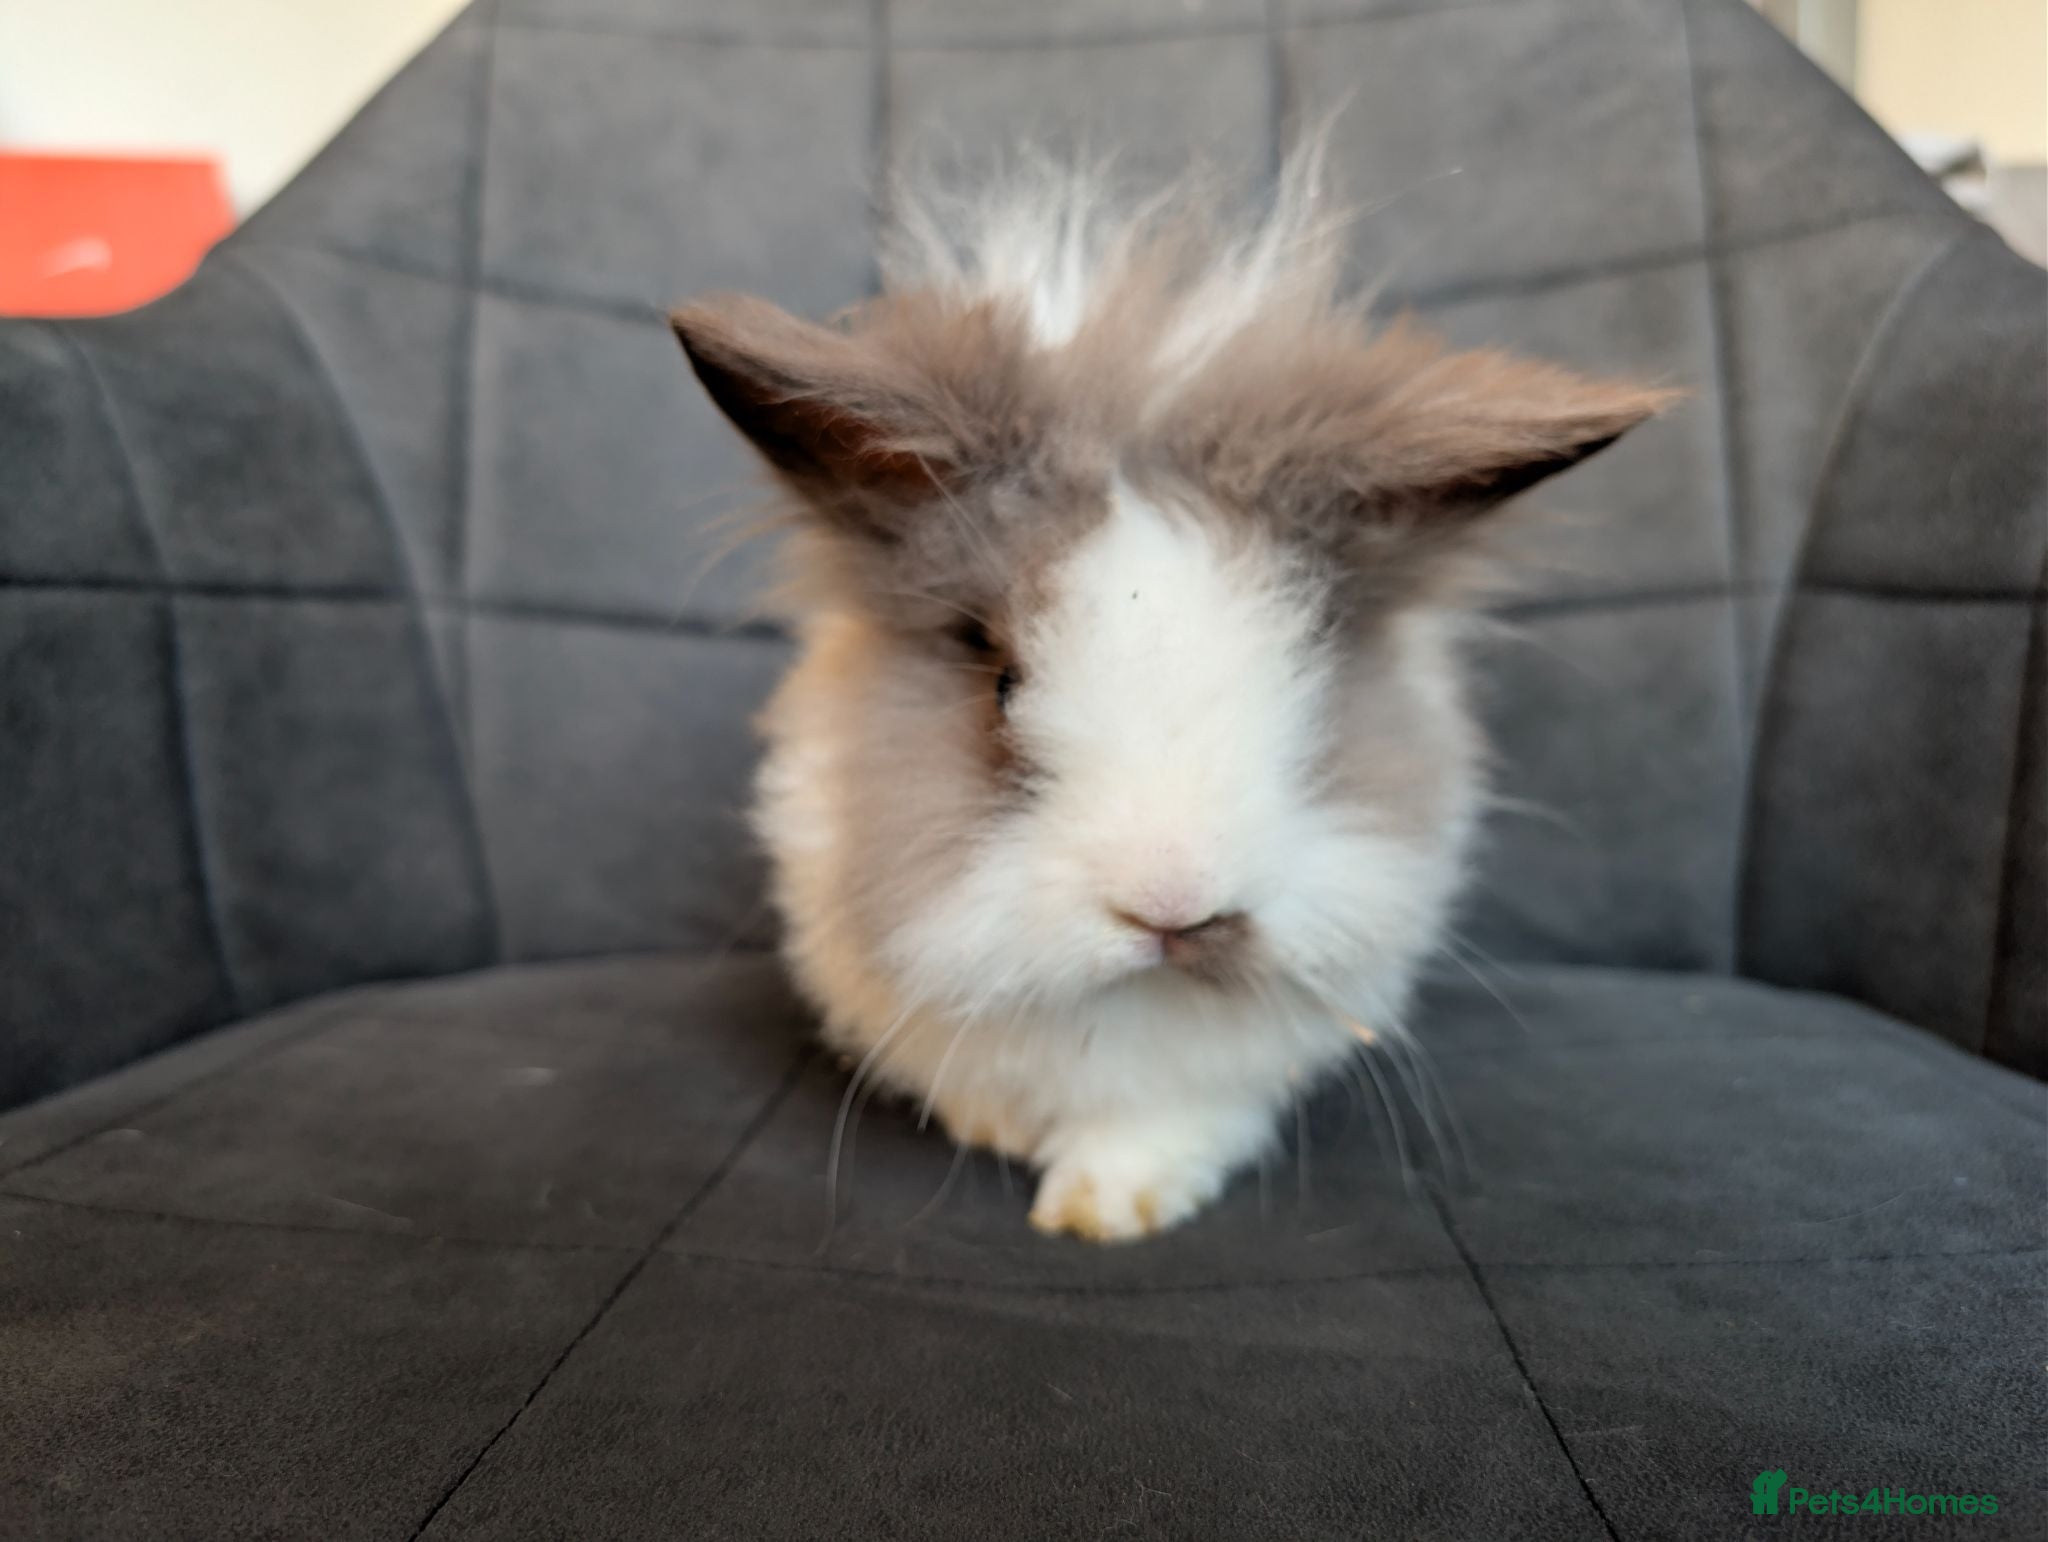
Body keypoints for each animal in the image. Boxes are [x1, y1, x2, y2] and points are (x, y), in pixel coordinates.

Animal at [668, 152, 1672, 1243]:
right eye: (1000, 679)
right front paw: (1002, 1140)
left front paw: (1105, 1211)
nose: (1174, 908)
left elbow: (1163, 1130)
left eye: (1312, 662)